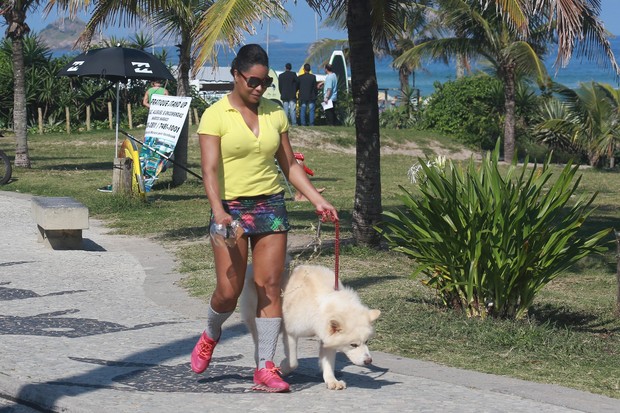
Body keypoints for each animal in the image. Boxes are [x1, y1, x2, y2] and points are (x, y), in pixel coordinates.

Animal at [240, 262, 380, 388]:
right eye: (353, 345)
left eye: (366, 341)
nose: (369, 361)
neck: (321, 304)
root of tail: (251, 267)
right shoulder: (291, 332)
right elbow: (293, 362)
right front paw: (283, 368)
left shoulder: (326, 338)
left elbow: (328, 363)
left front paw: (331, 380)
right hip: (256, 318)